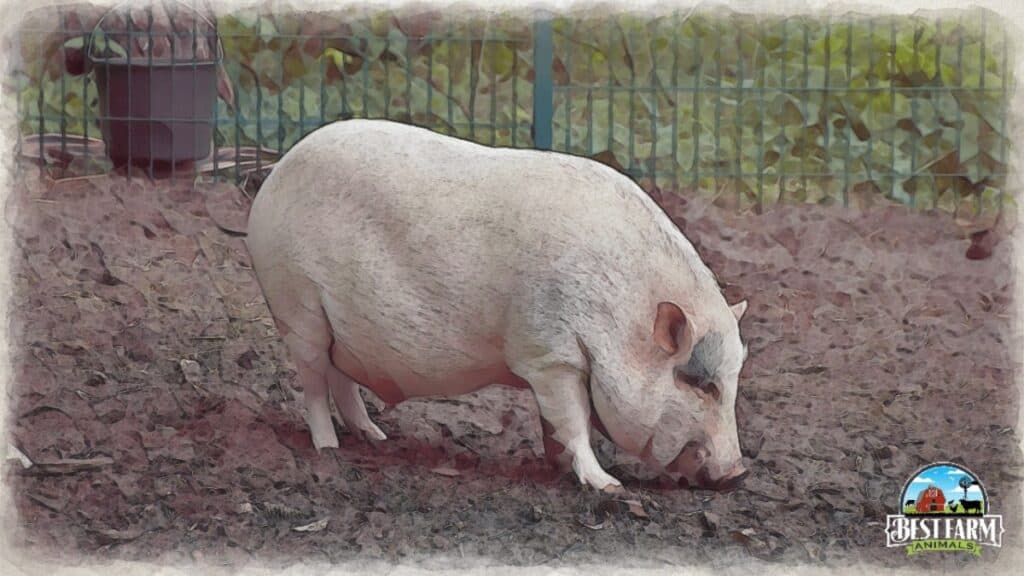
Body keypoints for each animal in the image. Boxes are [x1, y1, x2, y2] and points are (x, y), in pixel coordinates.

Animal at [243, 118, 749, 491]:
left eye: (731, 382)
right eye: (702, 383)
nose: (738, 473)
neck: (619, 319)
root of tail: (273, 178)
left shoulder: (554, 364)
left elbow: (556, 423)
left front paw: (557, 469)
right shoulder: (551, 355)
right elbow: (574, 421)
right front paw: (608, 486)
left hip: (336, 326)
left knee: (340, 378)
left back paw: (375, 437)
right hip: (297, 303)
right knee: (312, 382)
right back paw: (328, 450)